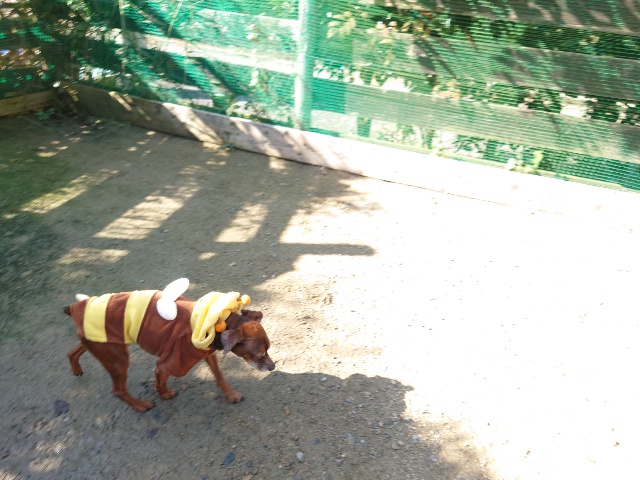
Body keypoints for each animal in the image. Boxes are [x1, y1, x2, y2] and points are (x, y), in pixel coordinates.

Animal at [64, 278, 274, 412]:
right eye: (258, 355)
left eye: (268, 350)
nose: (273, 367)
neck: (218, 323)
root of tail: (74, 307)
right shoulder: (169, 363)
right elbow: (160, 380)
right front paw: (163, 394)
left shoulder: (208, 354)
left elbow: (219, 376)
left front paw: (230, 394)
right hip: (118, 359)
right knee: (118, 390)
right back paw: (140, 405)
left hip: (101, 342)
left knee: (73, 350)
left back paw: (75, 367)